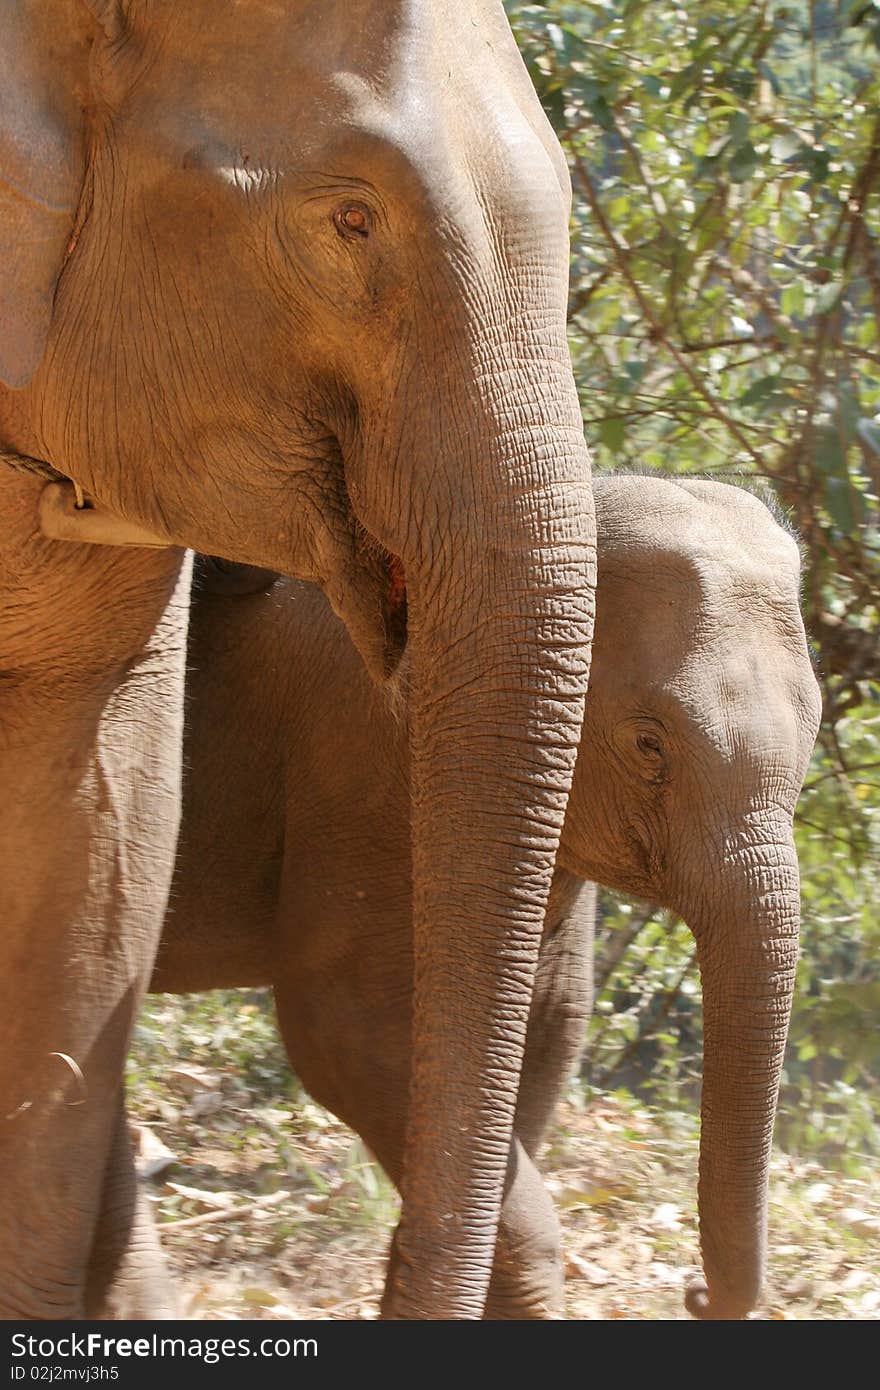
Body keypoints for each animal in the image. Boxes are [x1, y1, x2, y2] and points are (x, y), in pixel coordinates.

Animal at [154, 475, 823, 1312]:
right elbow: (354, 1038)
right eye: (649, 745)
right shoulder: (369, 778)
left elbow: (548, 1031)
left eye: (815, 729)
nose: (693, 1296)